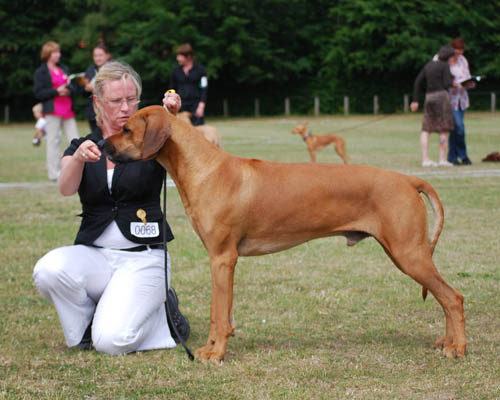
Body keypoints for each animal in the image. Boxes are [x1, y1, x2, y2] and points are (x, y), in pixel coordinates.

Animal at [99, 106, 466, 366]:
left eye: (127, 128)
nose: (101, 143)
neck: (205, 168)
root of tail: (407, 179)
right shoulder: (220, 261)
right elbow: (221, 312)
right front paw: (210, 349)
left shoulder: (223, 258)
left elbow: (218, 314)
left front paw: (215, 354)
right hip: (406, 252)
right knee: (445, 297)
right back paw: (447, 342)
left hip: (409, 253)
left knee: (453, 297)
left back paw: (458, 347)